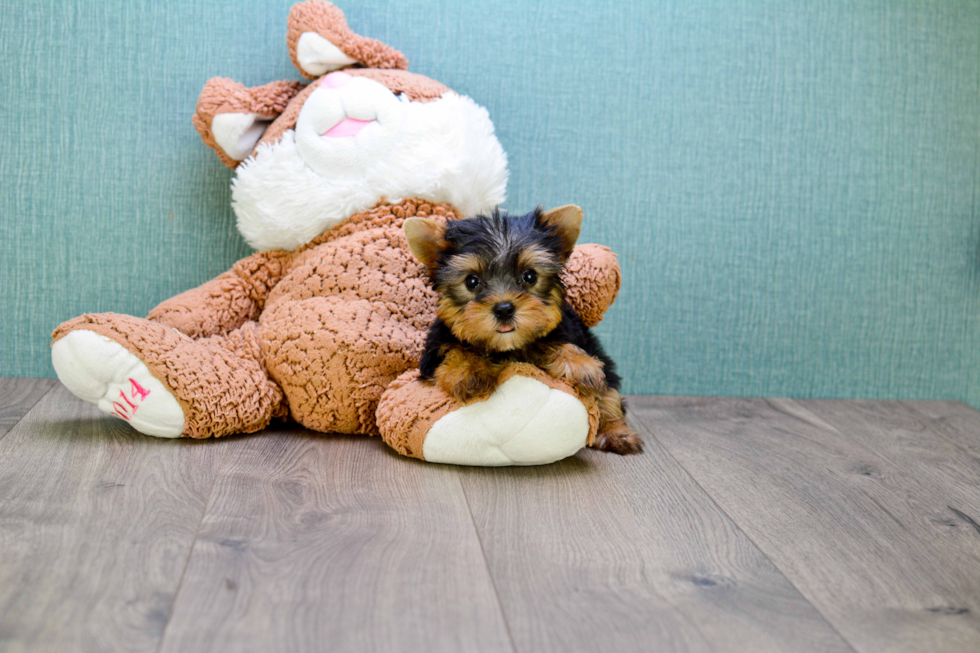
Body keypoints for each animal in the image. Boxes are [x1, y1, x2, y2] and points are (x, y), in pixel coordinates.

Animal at [404, 204, 644, 454]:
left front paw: (581, 365)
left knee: (609, 391)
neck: (508, 346)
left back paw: (616, 431)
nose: (504, 309)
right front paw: (467, 369)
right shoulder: (434, 350)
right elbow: (456, 349)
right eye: (472, 281)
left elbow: (553, 344)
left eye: (529, 276)